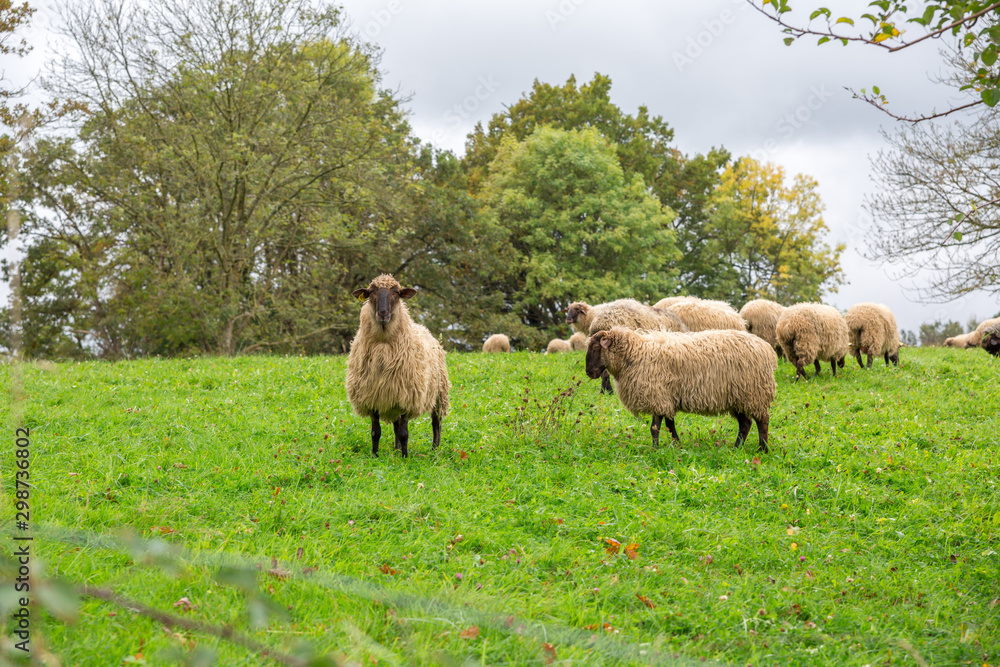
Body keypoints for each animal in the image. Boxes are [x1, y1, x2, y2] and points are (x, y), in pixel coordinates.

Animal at [346, 274, 450, 458]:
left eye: (396, 292)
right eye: (371, 292)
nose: (382, 313)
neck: (383, 343)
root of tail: (424, 328)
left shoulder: (407, 398)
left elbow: (404, 433)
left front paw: (405, 458)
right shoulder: (373, 397)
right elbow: (376, 432)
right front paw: (375, 455)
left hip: (438, 393)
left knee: (436, 423)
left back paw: (434, 450)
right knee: (396, 425)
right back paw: (396, 449)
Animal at [585, 327, 777, 452]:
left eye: (596, 347)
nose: (589, 372)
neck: (634, 354)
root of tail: (766, 348)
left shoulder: (657, 396)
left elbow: (655, 428)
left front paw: (655, 450)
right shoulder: (666, 398)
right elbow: (670, 425)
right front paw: (677, 445)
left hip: (754, 393)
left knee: (762, 421)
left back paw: (762, 449)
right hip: (739, 396)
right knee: (746, 424)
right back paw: (736, 449)